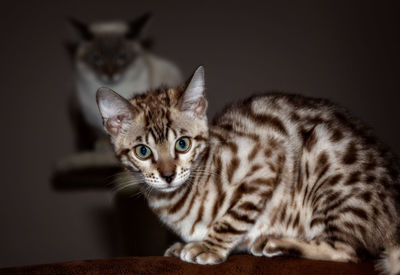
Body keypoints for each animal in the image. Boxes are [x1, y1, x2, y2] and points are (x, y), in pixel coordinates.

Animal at [95, 66, 398, 274]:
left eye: (182, 144)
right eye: (143, 151)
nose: (168, 175)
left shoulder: (267, 161)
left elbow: (234, 217)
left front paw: (208, 247)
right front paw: (185, 244)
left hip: (323, 159)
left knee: (349, 251)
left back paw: (277, 243)